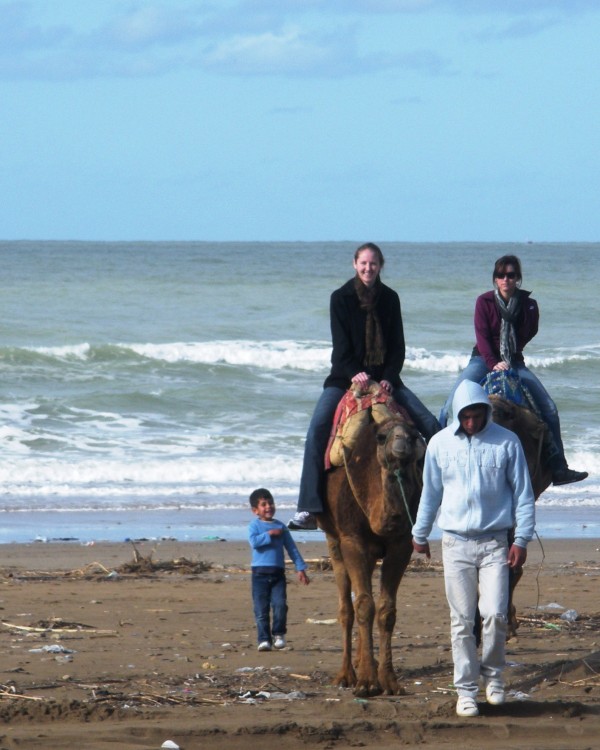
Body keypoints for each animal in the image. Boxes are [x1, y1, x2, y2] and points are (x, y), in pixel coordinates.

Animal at [316, 406, 424, 700]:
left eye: (414, 434)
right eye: (382, 437)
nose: (401, 443)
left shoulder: (402, 544)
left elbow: (387, 610)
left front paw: (389, 681)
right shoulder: (352, 540)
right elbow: (364, 605)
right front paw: (366, 682)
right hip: (334, 540)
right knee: (346, 606)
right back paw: (346, 675)